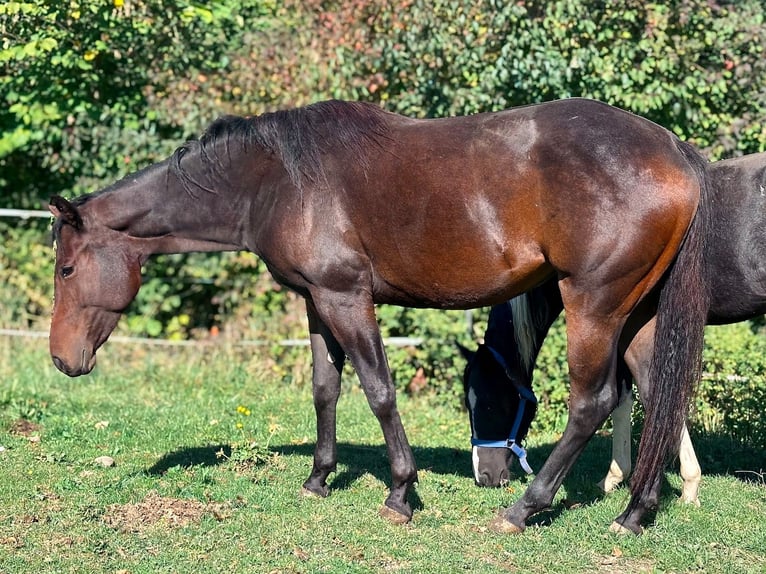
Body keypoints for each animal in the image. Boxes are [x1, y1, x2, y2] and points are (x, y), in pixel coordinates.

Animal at [47, 97, 711, 535]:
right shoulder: (316, 301)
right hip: (637, 312)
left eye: (67, 269)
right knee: (659, 394)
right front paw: (319, 478)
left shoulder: (347, 297)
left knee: (592, 403)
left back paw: (524, 508)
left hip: (594, 305)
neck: (275, 180)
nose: (60, 359)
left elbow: (379, 391)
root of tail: (674, 150)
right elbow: (325, 388)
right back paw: (635, 513)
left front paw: (400, 492)